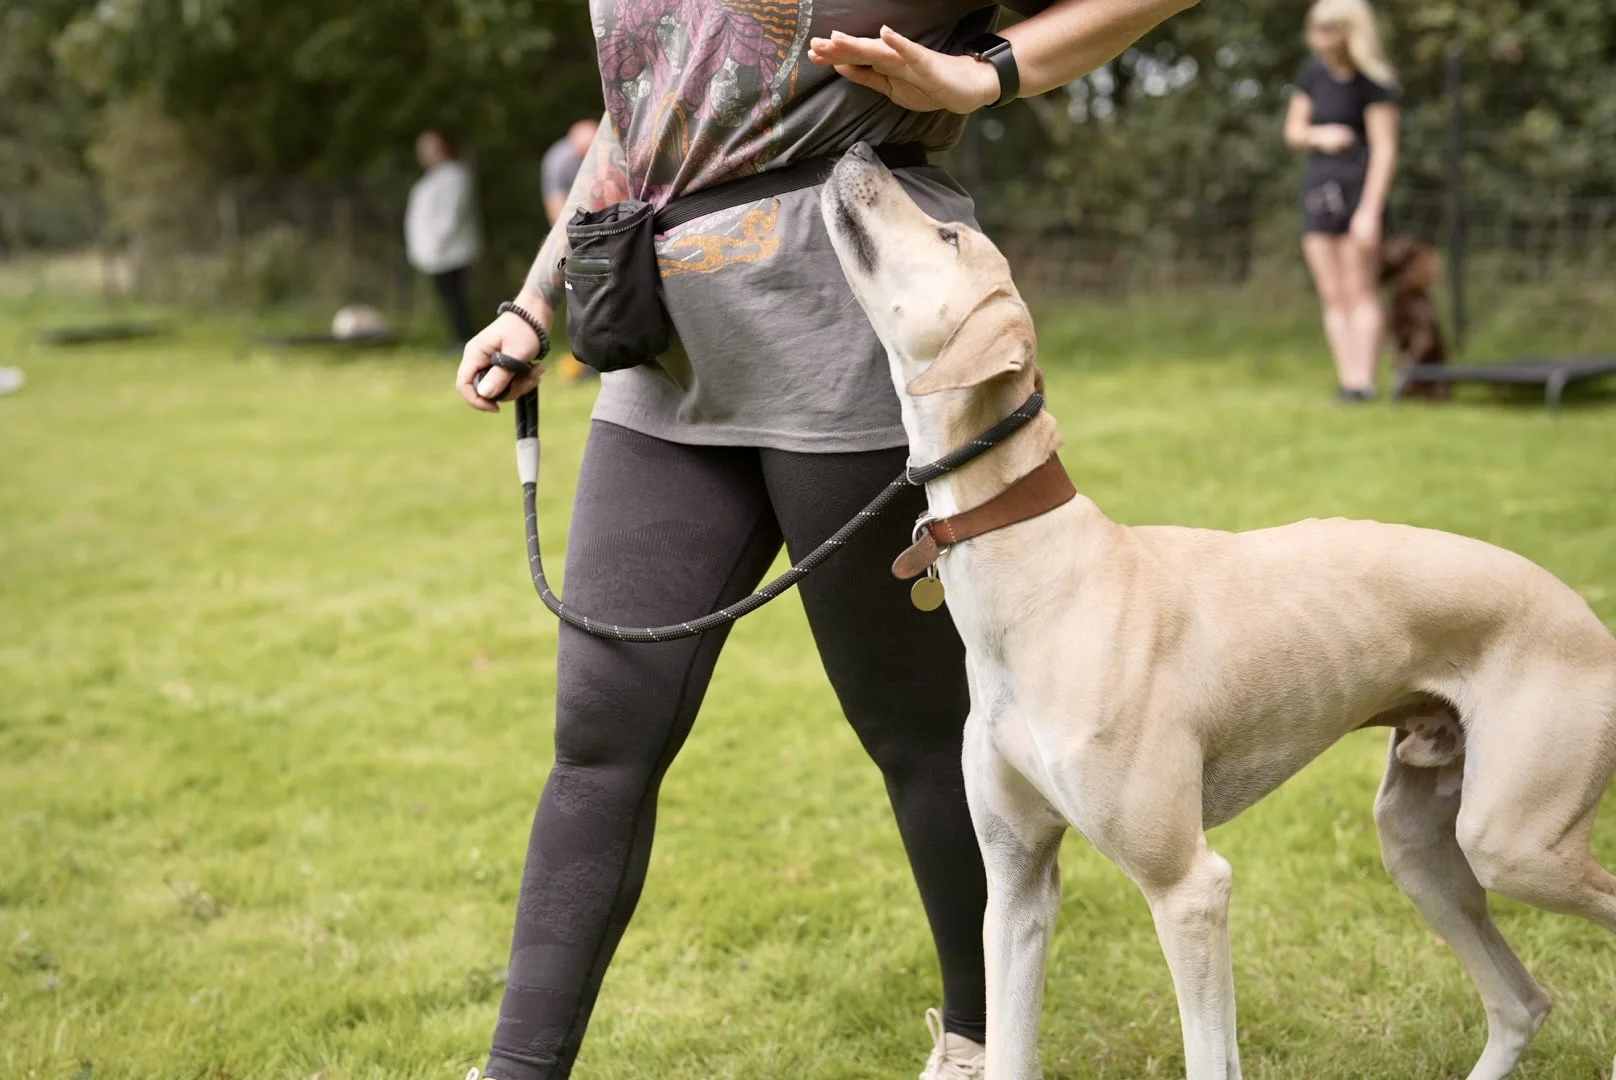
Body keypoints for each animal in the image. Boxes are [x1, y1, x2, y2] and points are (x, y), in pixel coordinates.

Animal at [1378, 236, 1451, 400]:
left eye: (1403, 247)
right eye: (1394, 243)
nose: (1382, 250)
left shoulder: (1424, 336)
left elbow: (1409, 362)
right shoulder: (1394, 336)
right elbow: (1399, 360)